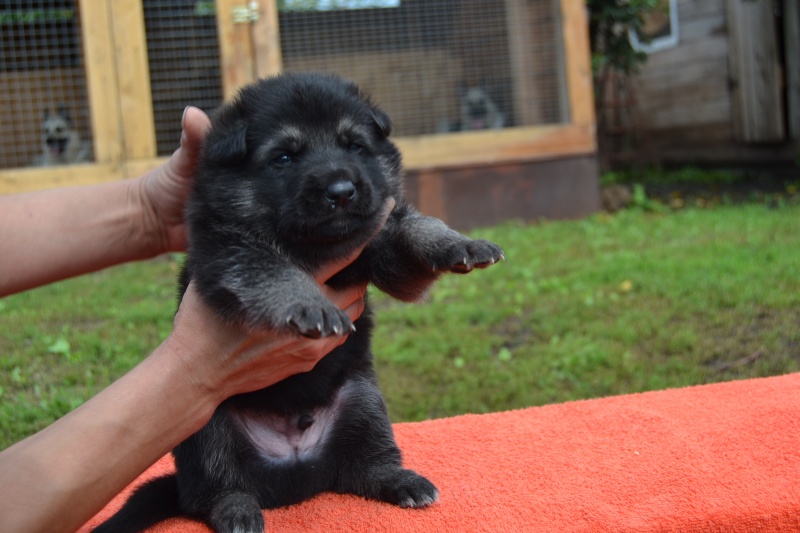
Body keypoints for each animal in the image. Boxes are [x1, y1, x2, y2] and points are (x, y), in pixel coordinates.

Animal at [94, 71, 504, 532]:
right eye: (285, 157)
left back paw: (401, 481)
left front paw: (459, 243)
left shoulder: (386, 250)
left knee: (364, 468)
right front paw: (310, 304)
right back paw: (237, 510)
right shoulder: (228, 253)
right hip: (205, 424)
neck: (314, 245)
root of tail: (296, 473)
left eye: (355, 146)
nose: (341, 191)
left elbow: (417, 225)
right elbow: (273, 269)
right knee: (212, 489)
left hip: (363, 401)